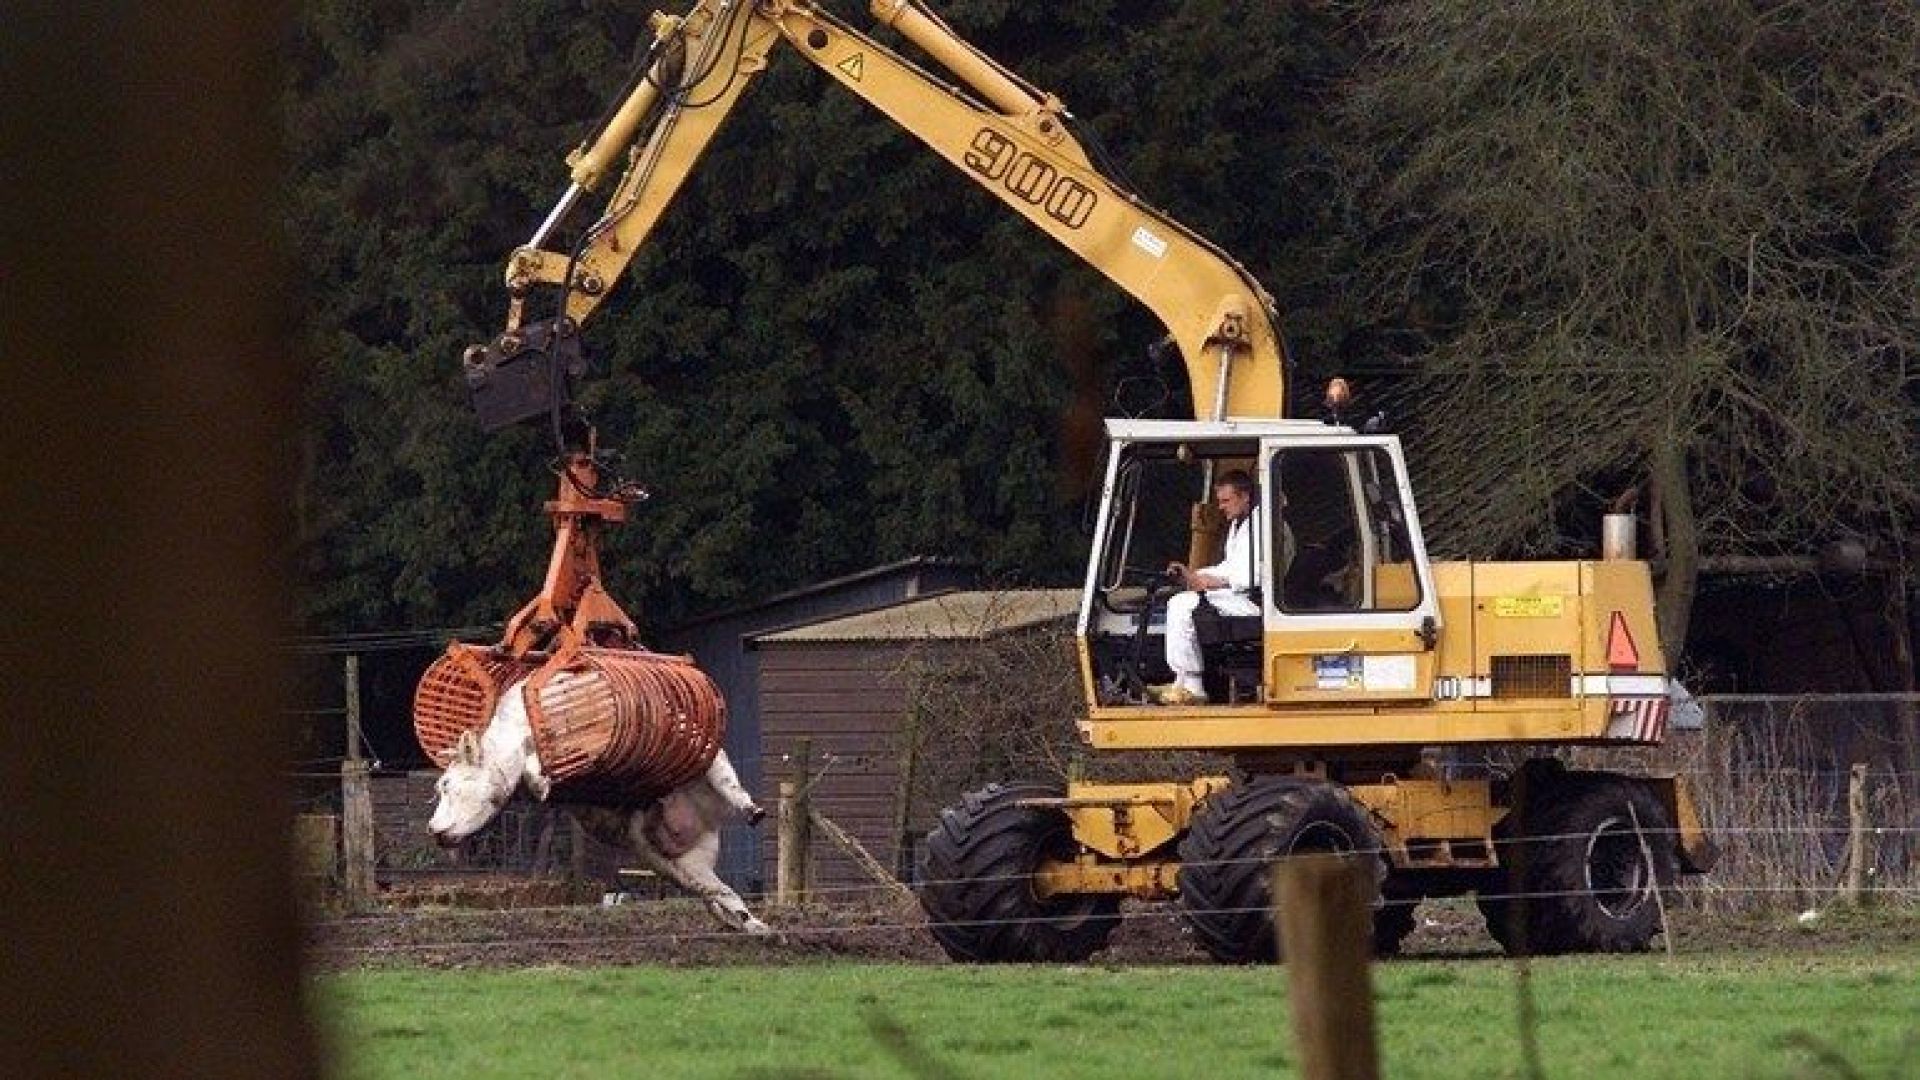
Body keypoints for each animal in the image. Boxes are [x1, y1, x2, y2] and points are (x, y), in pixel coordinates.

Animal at [430, 676, 771, 930]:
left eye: (446, 784)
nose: (433, 829)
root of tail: (704, 819)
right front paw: (541, 784)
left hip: (706, 753)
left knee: (727, 781)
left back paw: (751, 810)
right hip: (675, 863)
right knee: (720, 895)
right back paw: (754, 926)